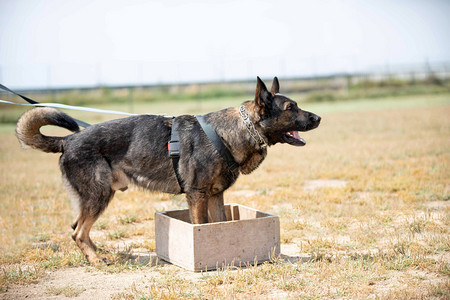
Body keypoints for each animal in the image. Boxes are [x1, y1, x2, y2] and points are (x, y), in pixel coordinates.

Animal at [16, 76, 320, 264]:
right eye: (291, 107)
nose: (318, 118)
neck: (231, 132)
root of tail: (68, 140)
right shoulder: (197, 195)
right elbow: (201, 226)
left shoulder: (215, 196)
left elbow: (219, 223)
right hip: (99, 195)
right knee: (78, 232)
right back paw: (96, 259)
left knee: (77, 228)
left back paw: (96, 253)